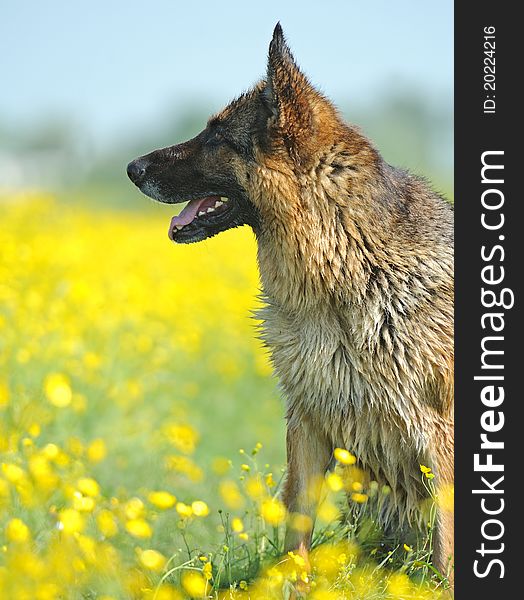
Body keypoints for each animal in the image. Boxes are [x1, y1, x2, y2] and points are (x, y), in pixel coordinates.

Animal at [128, 24, 454, 580]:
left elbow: (447, 547)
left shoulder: (440, 435)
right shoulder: (307, 420)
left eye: (216, 138)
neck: (348, 266)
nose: (131, 167)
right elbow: (295, 528)